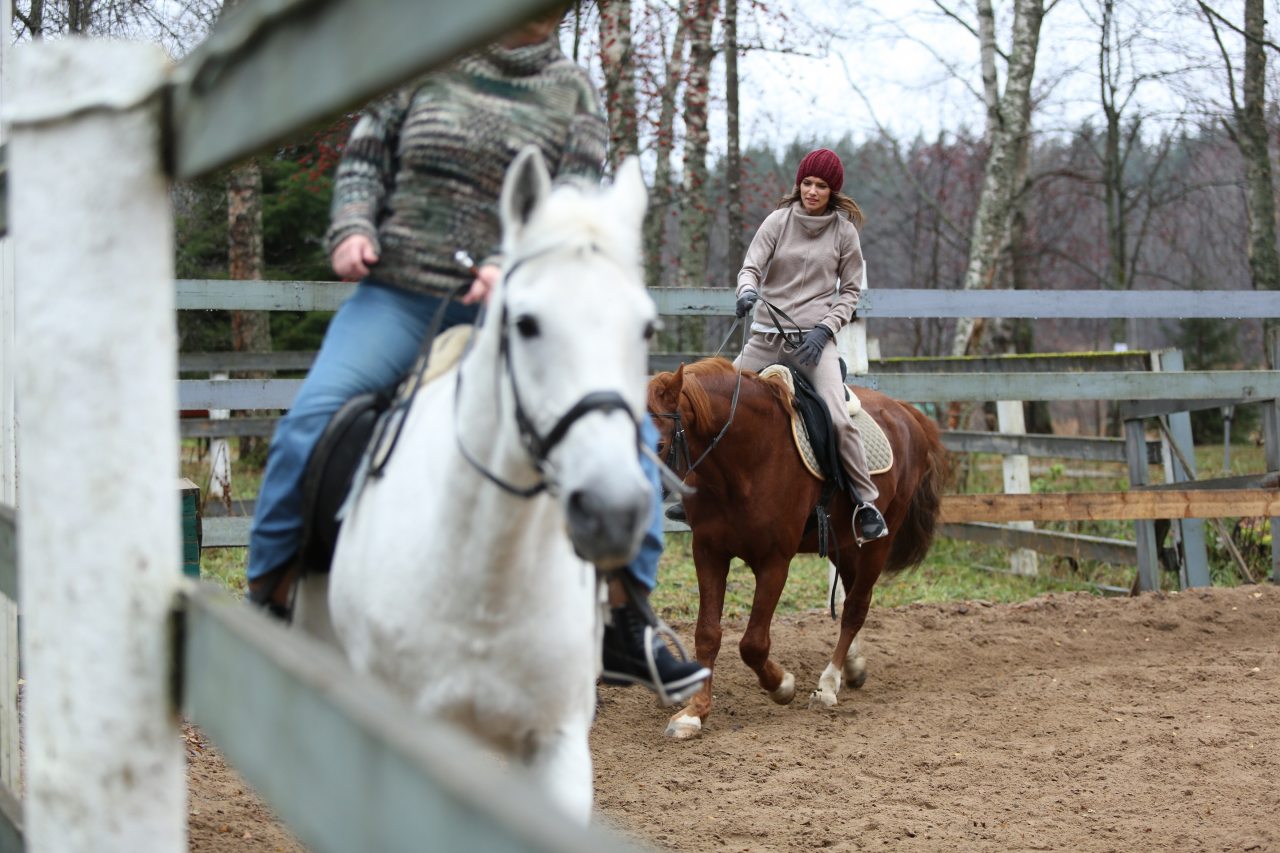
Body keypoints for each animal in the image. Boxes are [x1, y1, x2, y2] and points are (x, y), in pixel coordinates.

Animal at [645, 356, 947, 732]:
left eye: (658, 444)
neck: (745, 457)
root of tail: (905, 411)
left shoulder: (775, 561)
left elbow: (753, 643)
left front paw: (782, 685)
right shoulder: (708, 552)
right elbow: (707, 633)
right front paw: (694, 712)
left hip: (878, 542)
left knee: (855, 608)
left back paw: (829, 685)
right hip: (847, 546)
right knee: (853, 599)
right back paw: (852, 667)